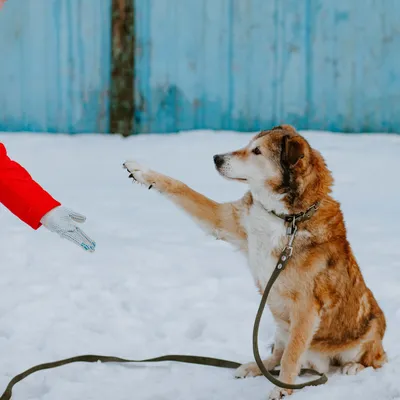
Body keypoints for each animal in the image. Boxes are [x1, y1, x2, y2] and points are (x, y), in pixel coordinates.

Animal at [123, 126, 386, 400]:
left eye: (257, 151)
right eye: (248, 145)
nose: (216, 158)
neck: (286, 218)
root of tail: (320, 365)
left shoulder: (306, 307)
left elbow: (292, 356)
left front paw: (283, 389)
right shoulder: (224, 220)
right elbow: (181, 187)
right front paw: (141, 171)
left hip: (368, 330)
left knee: (376, 359)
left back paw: (353, 366)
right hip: (281, 324)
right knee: (275, 355)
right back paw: (254, 367)